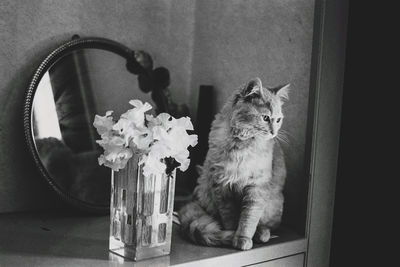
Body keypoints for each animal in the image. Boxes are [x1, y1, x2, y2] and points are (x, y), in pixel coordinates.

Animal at [177, 77, 288, 251]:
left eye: (278, 120)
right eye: (265, 118)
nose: (274, 132)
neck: (241, 146)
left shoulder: (257, 187)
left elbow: (248, 219)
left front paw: (243, 239)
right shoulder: (221, 185)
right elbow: (230, 219)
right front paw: (231, 236)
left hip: (273, 204)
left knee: (264, 225)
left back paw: (262, 234)